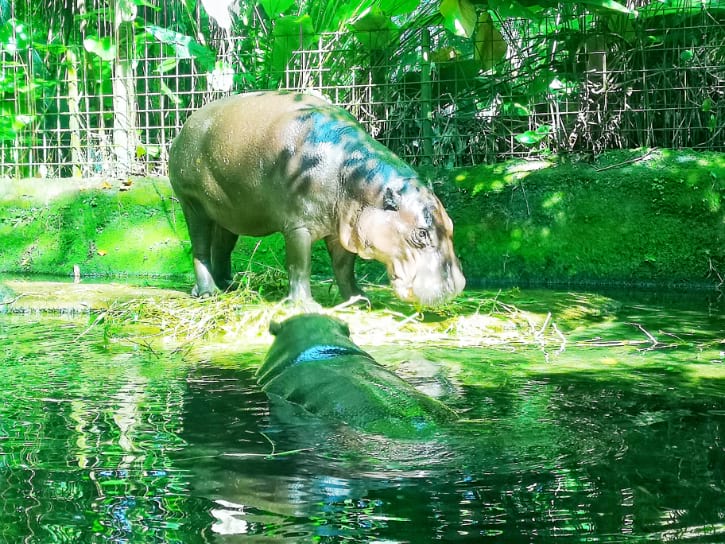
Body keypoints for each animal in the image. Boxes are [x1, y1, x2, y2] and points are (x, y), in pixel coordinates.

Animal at [167, 91, 464, 308]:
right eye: (421, 234)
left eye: (451, 226)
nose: (457, 286)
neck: (354, 177)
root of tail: (186, 125)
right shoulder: (298, 227)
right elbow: (300, 266)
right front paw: (305, 306)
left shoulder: (343, 228)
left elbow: (344, 267)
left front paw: (359, 300)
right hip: (193, 205)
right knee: (200, 249)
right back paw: (209, 293)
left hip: (228, 212)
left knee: (222, 247)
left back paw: (228, 286)